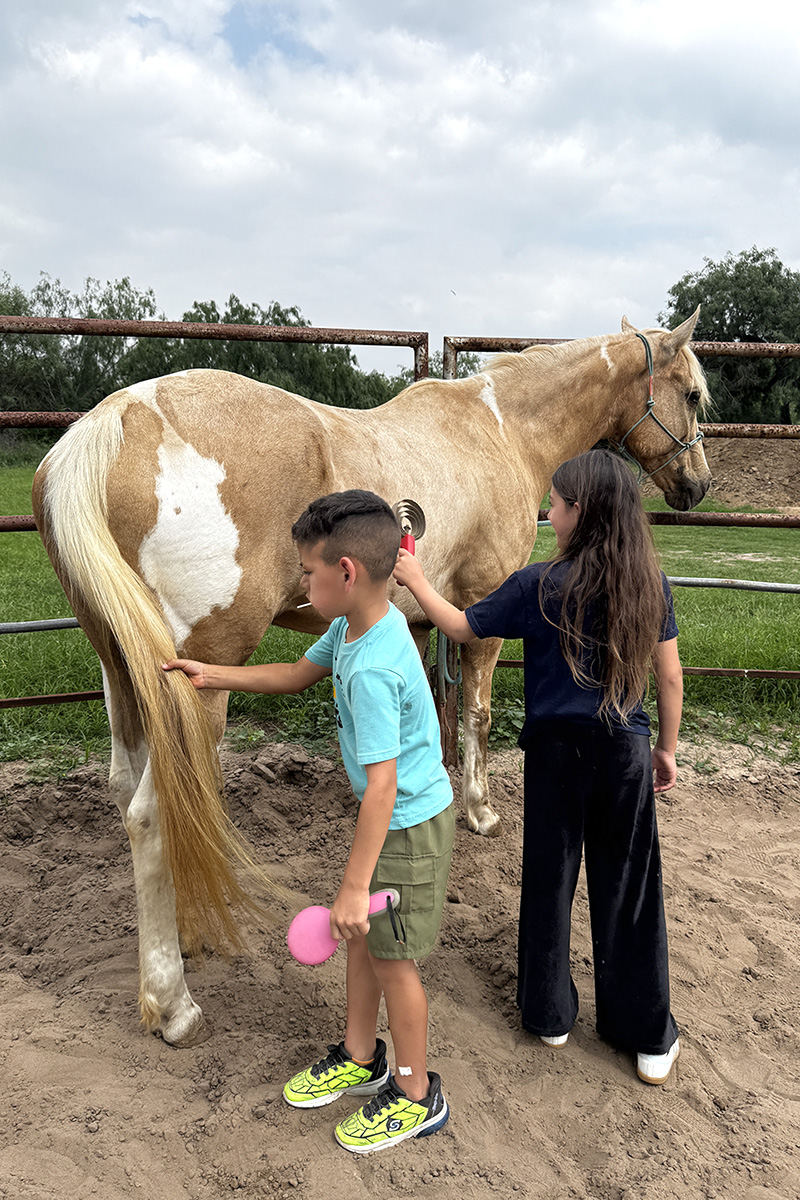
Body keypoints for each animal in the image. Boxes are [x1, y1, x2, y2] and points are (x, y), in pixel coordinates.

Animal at [31, 310, 711, 1045]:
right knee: (154, 812)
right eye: (693, 395)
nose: (699, 486)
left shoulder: (418, 622)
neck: (502, 429)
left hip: (125, 676)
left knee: (132, 791)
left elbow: (429, 720)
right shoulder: (487, 611)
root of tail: (118, 418)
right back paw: (174, 1002)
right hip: (193, 686)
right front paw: (479, 811)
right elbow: (476, 716)